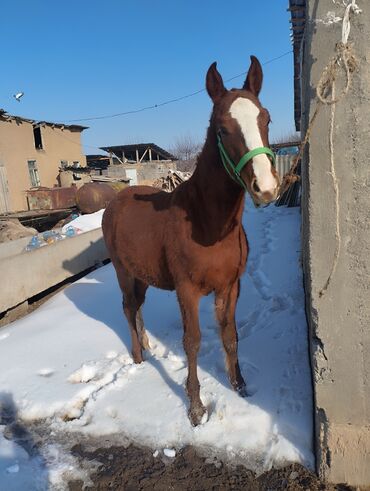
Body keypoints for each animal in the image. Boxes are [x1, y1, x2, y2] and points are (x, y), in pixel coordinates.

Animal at [102, 56, 278, 426]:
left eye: (266, 118)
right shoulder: (187, 291)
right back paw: (138, 357)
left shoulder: (230, 286)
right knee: (127, 307)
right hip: (123, 271)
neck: (206, 223)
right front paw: (196, 408)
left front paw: (239, 385)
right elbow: (192, 342)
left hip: (142, 275)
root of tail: (115, 201)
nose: (267, 188)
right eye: (222, 129)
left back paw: (147, 347)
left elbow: (230, 335)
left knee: (138, 306)